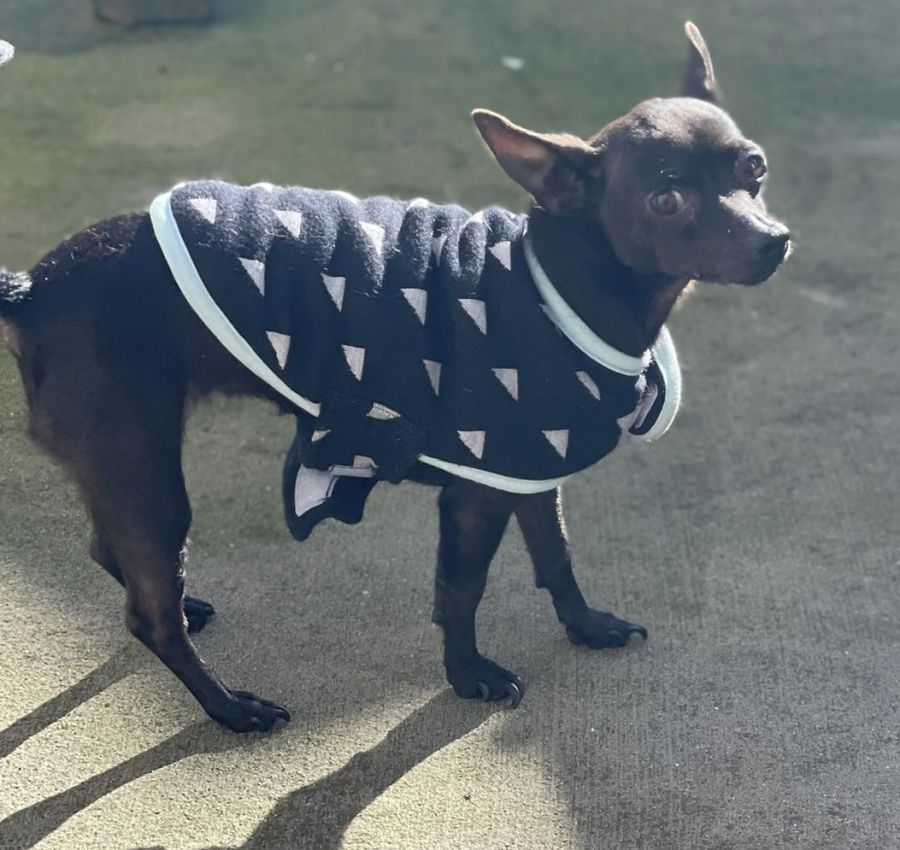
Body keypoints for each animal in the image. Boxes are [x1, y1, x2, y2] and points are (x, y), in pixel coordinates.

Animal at [0, 23, 790, 731]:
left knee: (113, 554)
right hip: (143, 469)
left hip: (121, 471)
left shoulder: (529, 473)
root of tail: (35, 286)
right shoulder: (477, 495)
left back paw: (190, 611)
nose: (774, 241)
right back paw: (230, 707)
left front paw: (586, 625)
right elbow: (462, 589)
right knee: (149, 617)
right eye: (667, 201)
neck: (559, 278)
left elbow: (556, 556)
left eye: (754, 168)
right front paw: (468, 677)